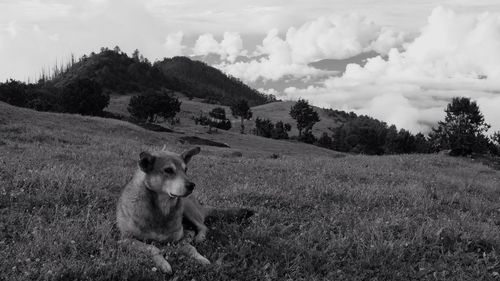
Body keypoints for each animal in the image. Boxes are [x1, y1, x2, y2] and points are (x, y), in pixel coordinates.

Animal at [115, 148, 252, 272]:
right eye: (168, 170)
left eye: (186, 170)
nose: (192, 185)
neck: (163, 208)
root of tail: (201, 206)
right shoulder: (126, 239)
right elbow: (152, 248)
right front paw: (163, 264)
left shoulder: (178, 239)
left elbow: (191, 248)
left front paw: (201, 258)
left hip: (187, 208)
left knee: (202, 226)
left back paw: (198, 237)